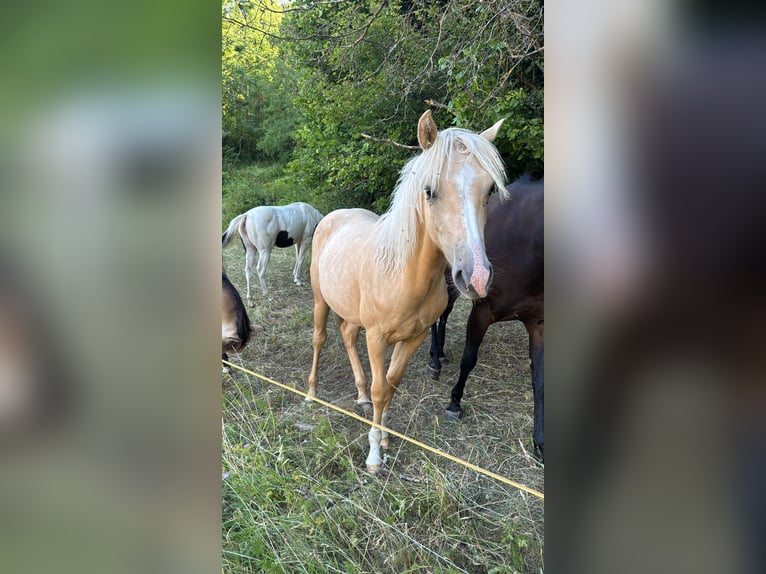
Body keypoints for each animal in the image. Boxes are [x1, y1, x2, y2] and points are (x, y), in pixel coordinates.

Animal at [306, 110, 507, 472]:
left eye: (488, 191)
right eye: (429, 191)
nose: (477, 277)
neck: (404, 275)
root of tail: (333, 216)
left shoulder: (414, 337)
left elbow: (391, 384)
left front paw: (385, 436)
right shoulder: (377, 338)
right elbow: (380, 388)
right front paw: (374, 455)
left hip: (352, 313)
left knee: (347, 335)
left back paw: (358, 394)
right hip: (320, 301)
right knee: (320, 339)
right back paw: (311, 393)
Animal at [426, 176, 544, 459]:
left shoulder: (538, 324)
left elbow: (540, 380)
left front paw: (540, 441)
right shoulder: (482, 311)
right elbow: (469, 359)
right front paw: (454, 403)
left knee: (444, 314)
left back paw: (441, 354)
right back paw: (434, 360)